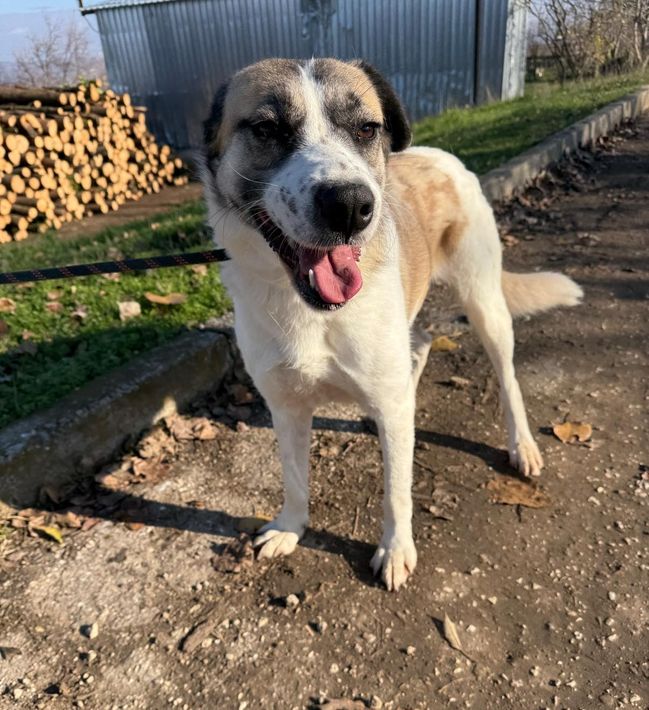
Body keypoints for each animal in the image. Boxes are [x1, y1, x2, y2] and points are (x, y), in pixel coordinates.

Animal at [200, 58, 582, 590]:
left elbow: (397, 489)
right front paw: (291, 528)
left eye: (366, 128)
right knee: (418, 344)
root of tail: (440, 155)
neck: (310, 310)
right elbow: (295, 479)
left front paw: (396, 549)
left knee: (506, 378)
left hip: (484, 303)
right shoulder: (286, 407)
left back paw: (522, 445)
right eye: (267, 128)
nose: (349, 206)